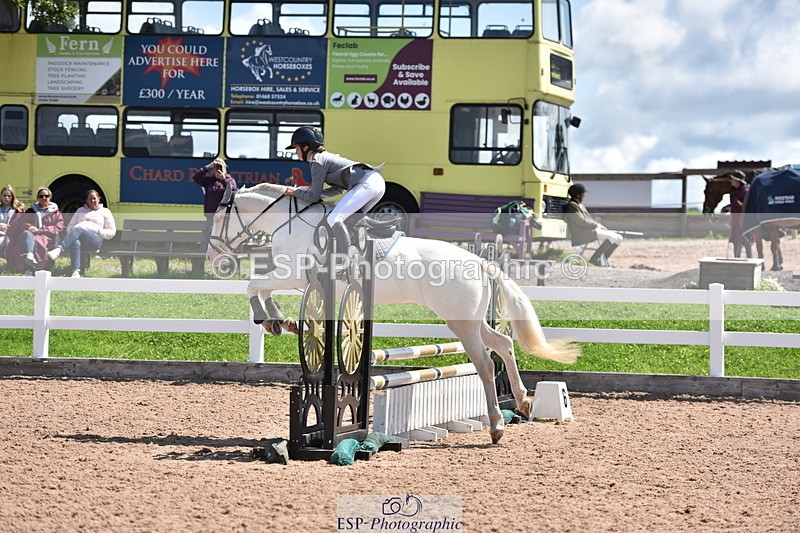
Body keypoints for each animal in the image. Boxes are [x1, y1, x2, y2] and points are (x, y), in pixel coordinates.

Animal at [206, 183, 580, 444]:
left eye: (219, 217)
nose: (213, 258)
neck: (291, 223)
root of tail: (481, 261)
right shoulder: (298, 280)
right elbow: (262, 290)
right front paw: (278, 321)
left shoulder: (295, 275)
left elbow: (253, 285)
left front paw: (269, 319)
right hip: (469, 320)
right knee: (503, 343)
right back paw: (521, 402)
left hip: (462, 324)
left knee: (486, 365)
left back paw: (497, 426)